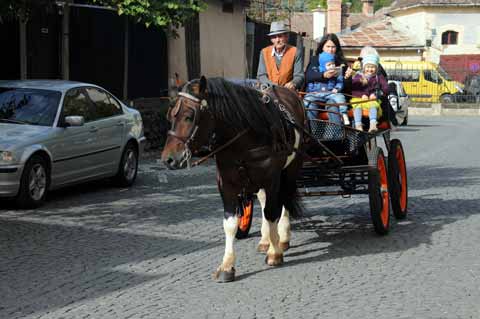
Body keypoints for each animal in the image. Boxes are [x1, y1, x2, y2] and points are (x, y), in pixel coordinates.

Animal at [160, 77, 304, 282]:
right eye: (170, 116)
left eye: (189, 116)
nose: (168, 159)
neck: (245, 140)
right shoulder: (226, 183)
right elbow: (230, 223)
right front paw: (227, 266)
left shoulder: (272, 179)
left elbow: (271, 213)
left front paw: (275, 253)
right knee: (265, 200)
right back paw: (265, 239)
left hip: (290, 169)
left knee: (283, 200)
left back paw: (282, 238)